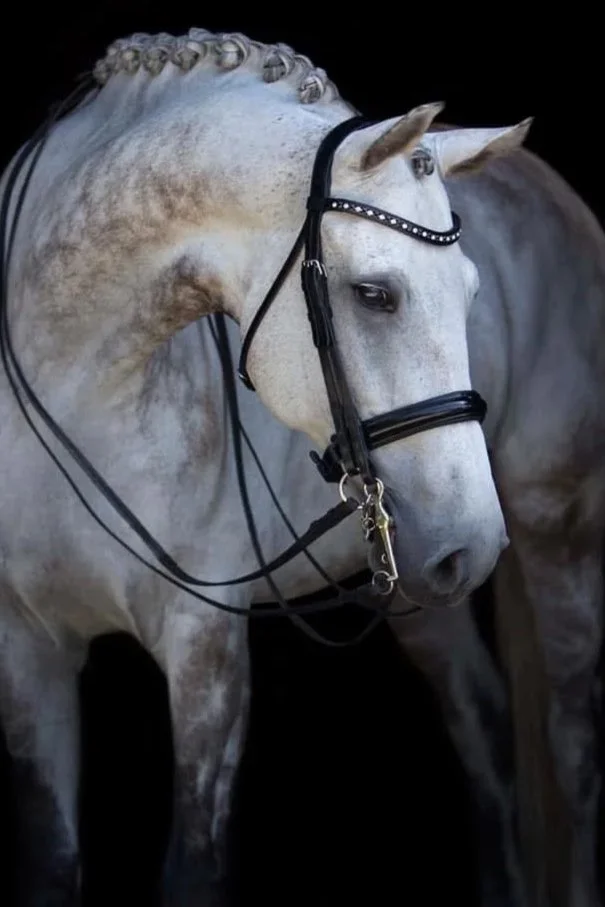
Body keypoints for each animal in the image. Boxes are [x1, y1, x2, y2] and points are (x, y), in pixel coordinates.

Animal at [0, 25, 604, 907]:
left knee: (571, 745)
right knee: (483, 726)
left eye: (469, 293)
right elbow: (49, 861)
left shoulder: (205, 651)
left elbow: (194, 868)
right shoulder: (27, 650)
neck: (74, 385)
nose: (475, 543)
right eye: (374, 294)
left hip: (558, 524)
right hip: (421, 586)